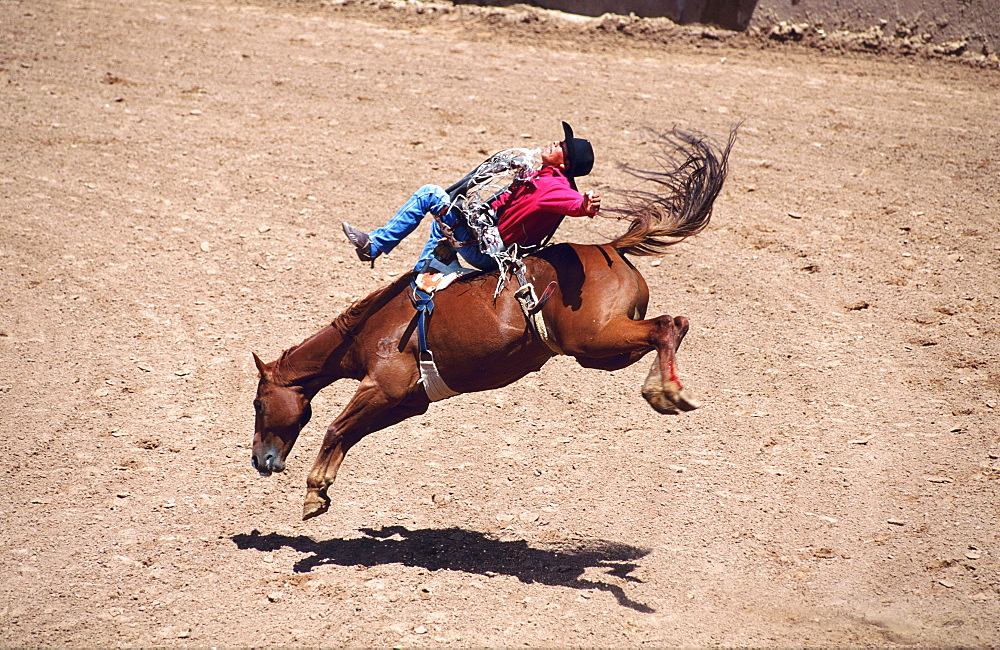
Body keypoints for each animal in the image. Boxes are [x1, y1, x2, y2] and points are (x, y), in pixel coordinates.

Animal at [250, 129, 736, 520]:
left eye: (257, 403)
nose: (260, 460)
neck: (369, 329)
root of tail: (611, 248)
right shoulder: (406, 402)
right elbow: (350, 434)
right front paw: (321, 492)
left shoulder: (381, 387)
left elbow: (335, 427)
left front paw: (313, 490)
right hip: (602, 351)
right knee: (670, 325)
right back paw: (662, 387)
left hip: (595, 338)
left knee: (668, 325)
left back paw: (668, 392)